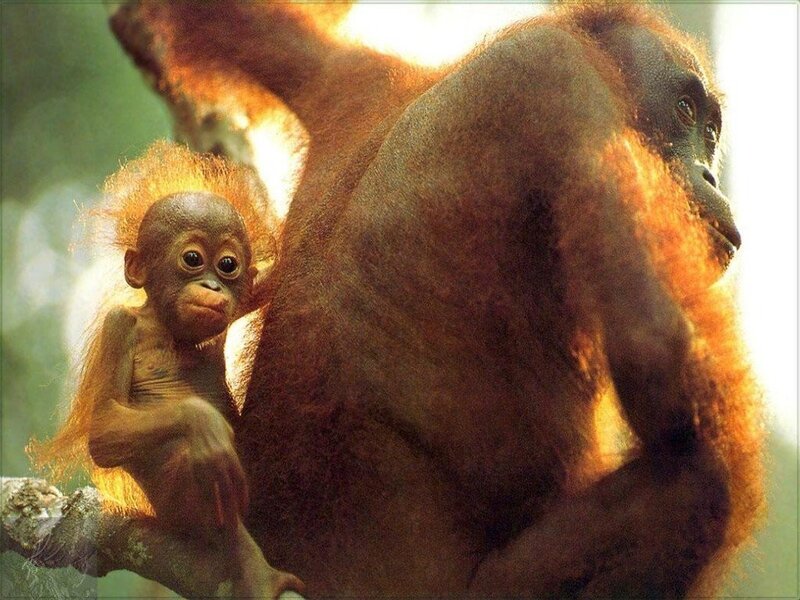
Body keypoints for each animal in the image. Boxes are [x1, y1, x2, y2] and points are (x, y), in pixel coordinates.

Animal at [110, 3, 766, 598]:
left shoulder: (359, 77)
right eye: (686, 112)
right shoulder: (561, 80)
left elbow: (255, 31)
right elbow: (655, 356)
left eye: (711, 133)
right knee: (696, 485)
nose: (709, 174)